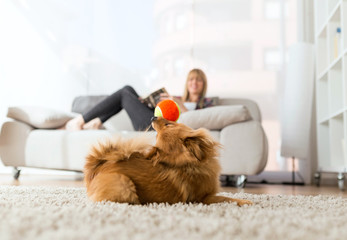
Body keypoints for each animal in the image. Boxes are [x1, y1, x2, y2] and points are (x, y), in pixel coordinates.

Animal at [84, 117, 253, 205]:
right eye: (157, 135)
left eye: (168, 124)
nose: (153, 117)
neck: (190, 165)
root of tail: (97, 168)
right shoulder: (204, 198)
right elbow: (227, 198)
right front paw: (247, 202)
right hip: (124, 184)